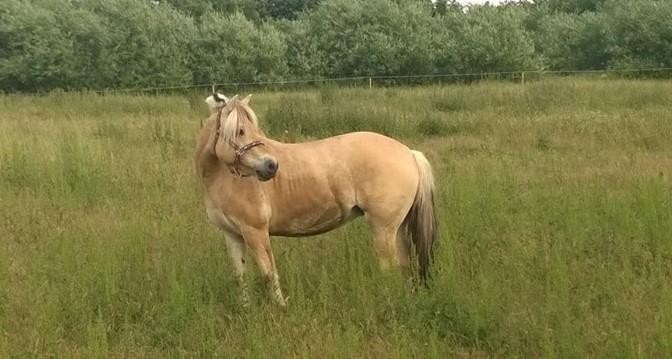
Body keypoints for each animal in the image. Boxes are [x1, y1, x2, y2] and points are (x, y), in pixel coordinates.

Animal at [193, 92, 436, 306]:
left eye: (254, 129)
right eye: (240, 131)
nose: (271, 166)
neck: (223, 176)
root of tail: (409, 153)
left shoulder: (255, 232)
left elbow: (269, 273)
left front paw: (281, 307)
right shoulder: (232, 235)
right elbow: (239, 276)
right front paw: (245, 308)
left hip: (383, 229)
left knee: (390, 269)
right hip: (398, 228)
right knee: (405, 266)